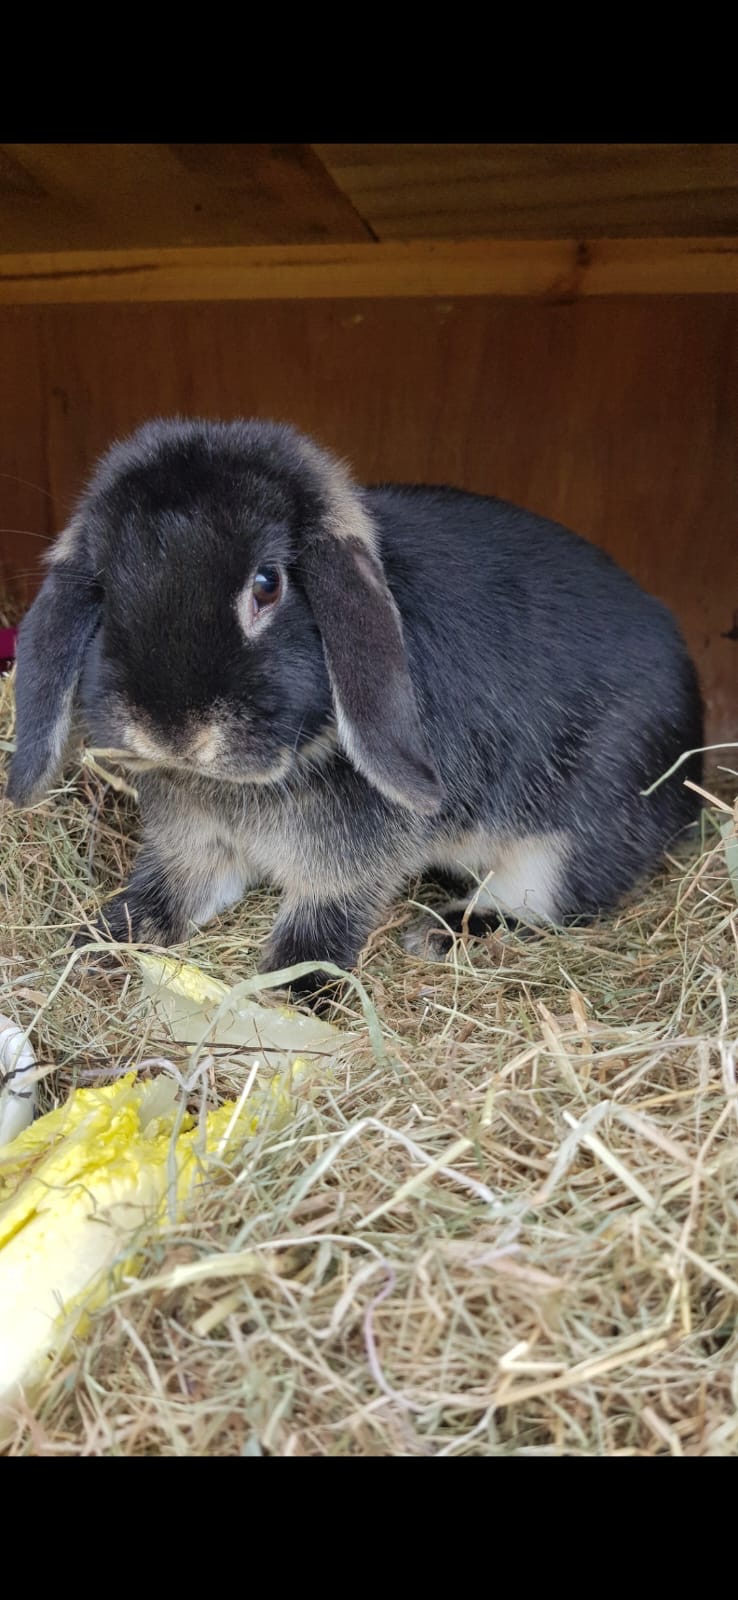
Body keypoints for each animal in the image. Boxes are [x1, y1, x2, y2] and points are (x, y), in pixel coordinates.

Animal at [5, 416, 704, 998]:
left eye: (268, 584)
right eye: (105, 589)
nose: (172, 732)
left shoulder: (349, 861)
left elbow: (324, 918)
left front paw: (292, 993)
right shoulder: (196, 845)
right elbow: (168, 892)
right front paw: (98, 944)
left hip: (574, 833)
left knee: (553, 901)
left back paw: (442, 932)